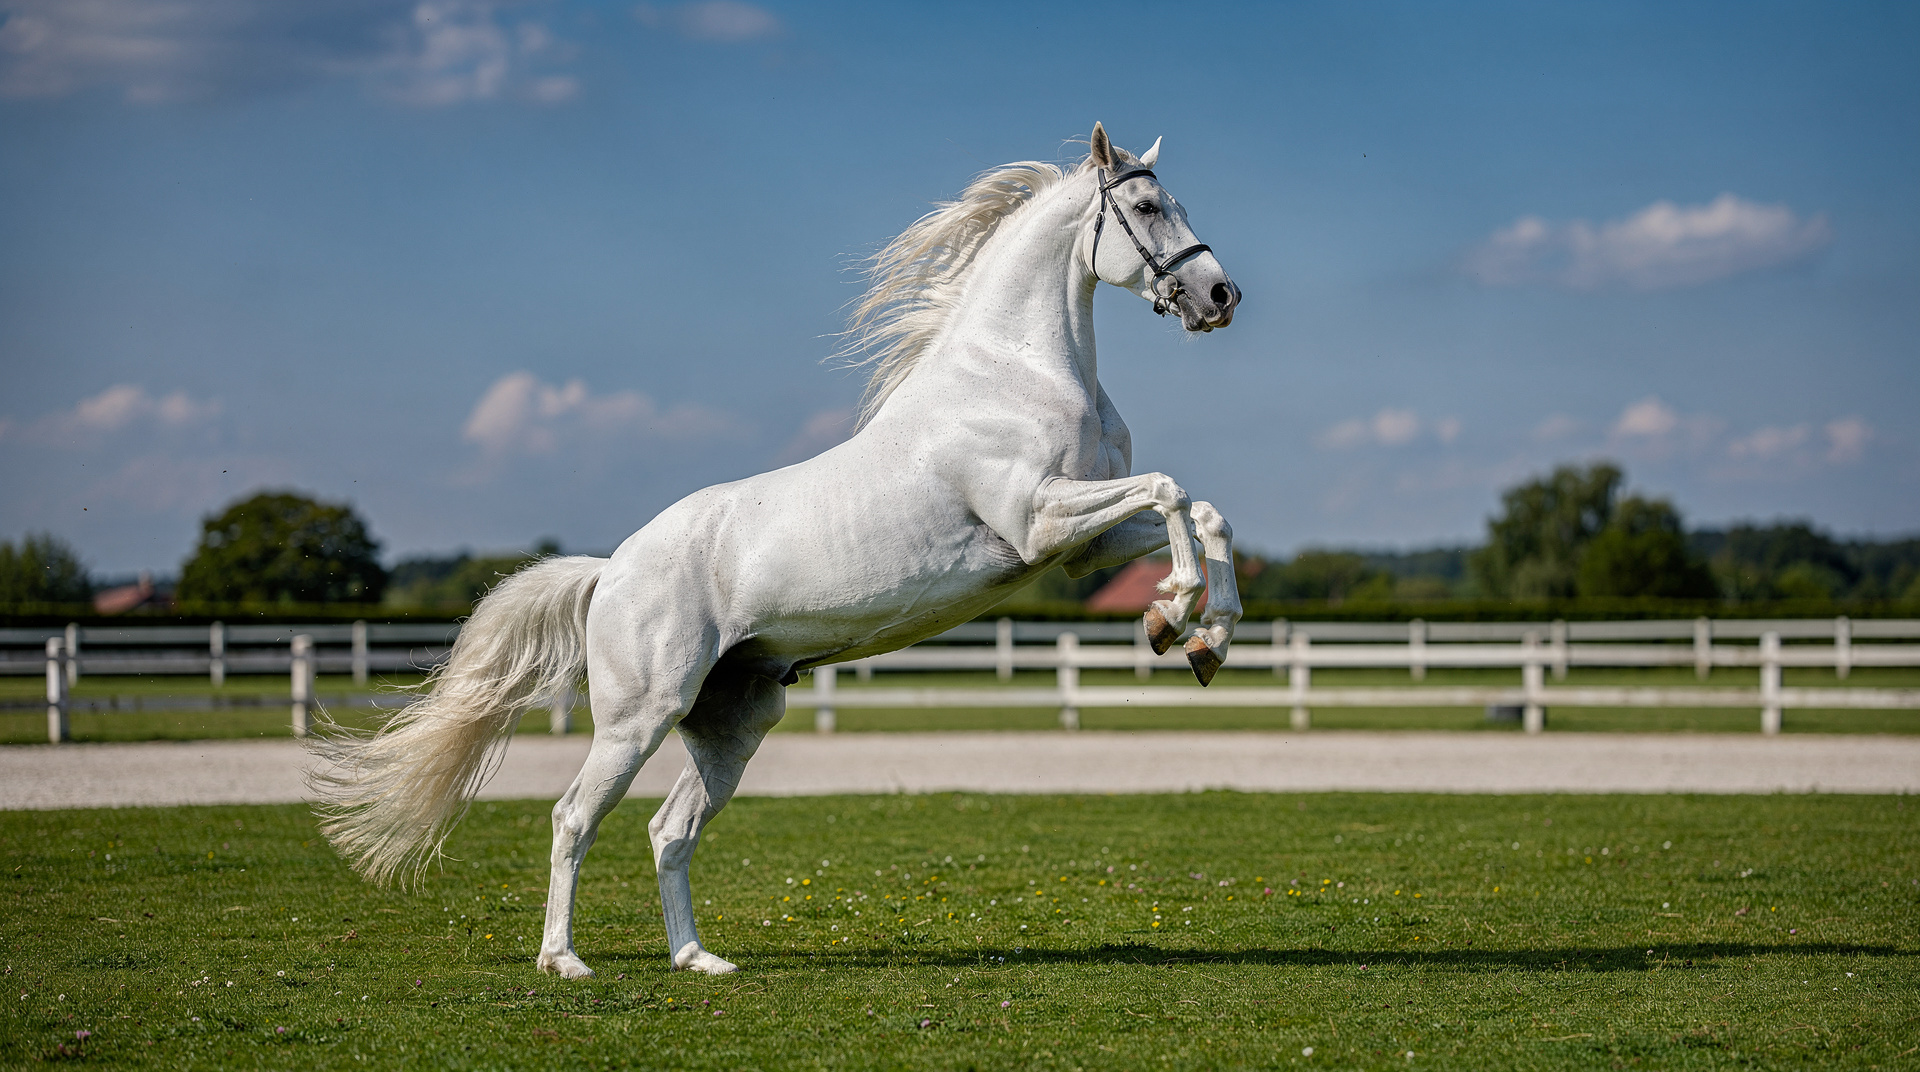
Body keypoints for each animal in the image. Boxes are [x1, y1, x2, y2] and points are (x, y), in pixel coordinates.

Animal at [309, 122, 1244, 978]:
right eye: (1147, 207)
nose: (1219, 294)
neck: (1018, 374)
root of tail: (611, 573)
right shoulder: (1039, 521)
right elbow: (1171, 491)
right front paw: (1171, 618)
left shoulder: (1079, 550)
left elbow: (1206, 512)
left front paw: (1204, 639)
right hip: (639, 717)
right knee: (574, 818)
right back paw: (564, 961)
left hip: (731, 724)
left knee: (669, 829)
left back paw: (697, 960)